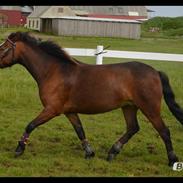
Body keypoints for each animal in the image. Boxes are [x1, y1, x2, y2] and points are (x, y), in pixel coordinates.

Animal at [0, 32, 183, 167]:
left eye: (4, 47)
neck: (54, 71)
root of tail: (155, 72)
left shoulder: (52, 109)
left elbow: (30, 125)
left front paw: (19, 149)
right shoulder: (69, 111)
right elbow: (80, 130)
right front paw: (89, 153)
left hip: (149, 108)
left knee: (163, 131)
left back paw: (172, 161)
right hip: (129, 106)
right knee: (133, 128)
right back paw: (112, 152)